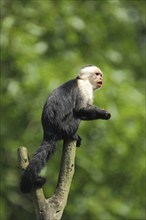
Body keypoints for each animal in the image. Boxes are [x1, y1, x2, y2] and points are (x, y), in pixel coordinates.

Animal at [20, 64, 110, 192]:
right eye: (97, 74)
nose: (101, 78)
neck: (82, 79)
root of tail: (49, 132)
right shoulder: (84, 87)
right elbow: (80, 109)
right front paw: (103, 113)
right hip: (64, 127)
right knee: (76, 116)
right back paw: (73, 135)